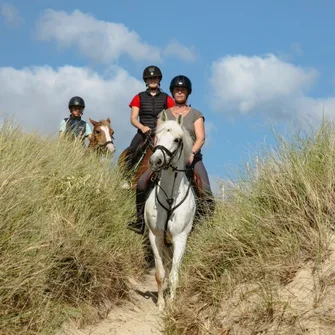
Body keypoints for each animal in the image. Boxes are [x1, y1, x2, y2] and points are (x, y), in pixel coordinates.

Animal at [144, 111, 197, 312]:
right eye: (156, 137)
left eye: (176, 140)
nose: (155, 161)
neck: (170, 195)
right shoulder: (155, 236)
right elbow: (160, 273)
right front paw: (161, 303)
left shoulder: (180, 237)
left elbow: (175, 274)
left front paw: (172, 305)